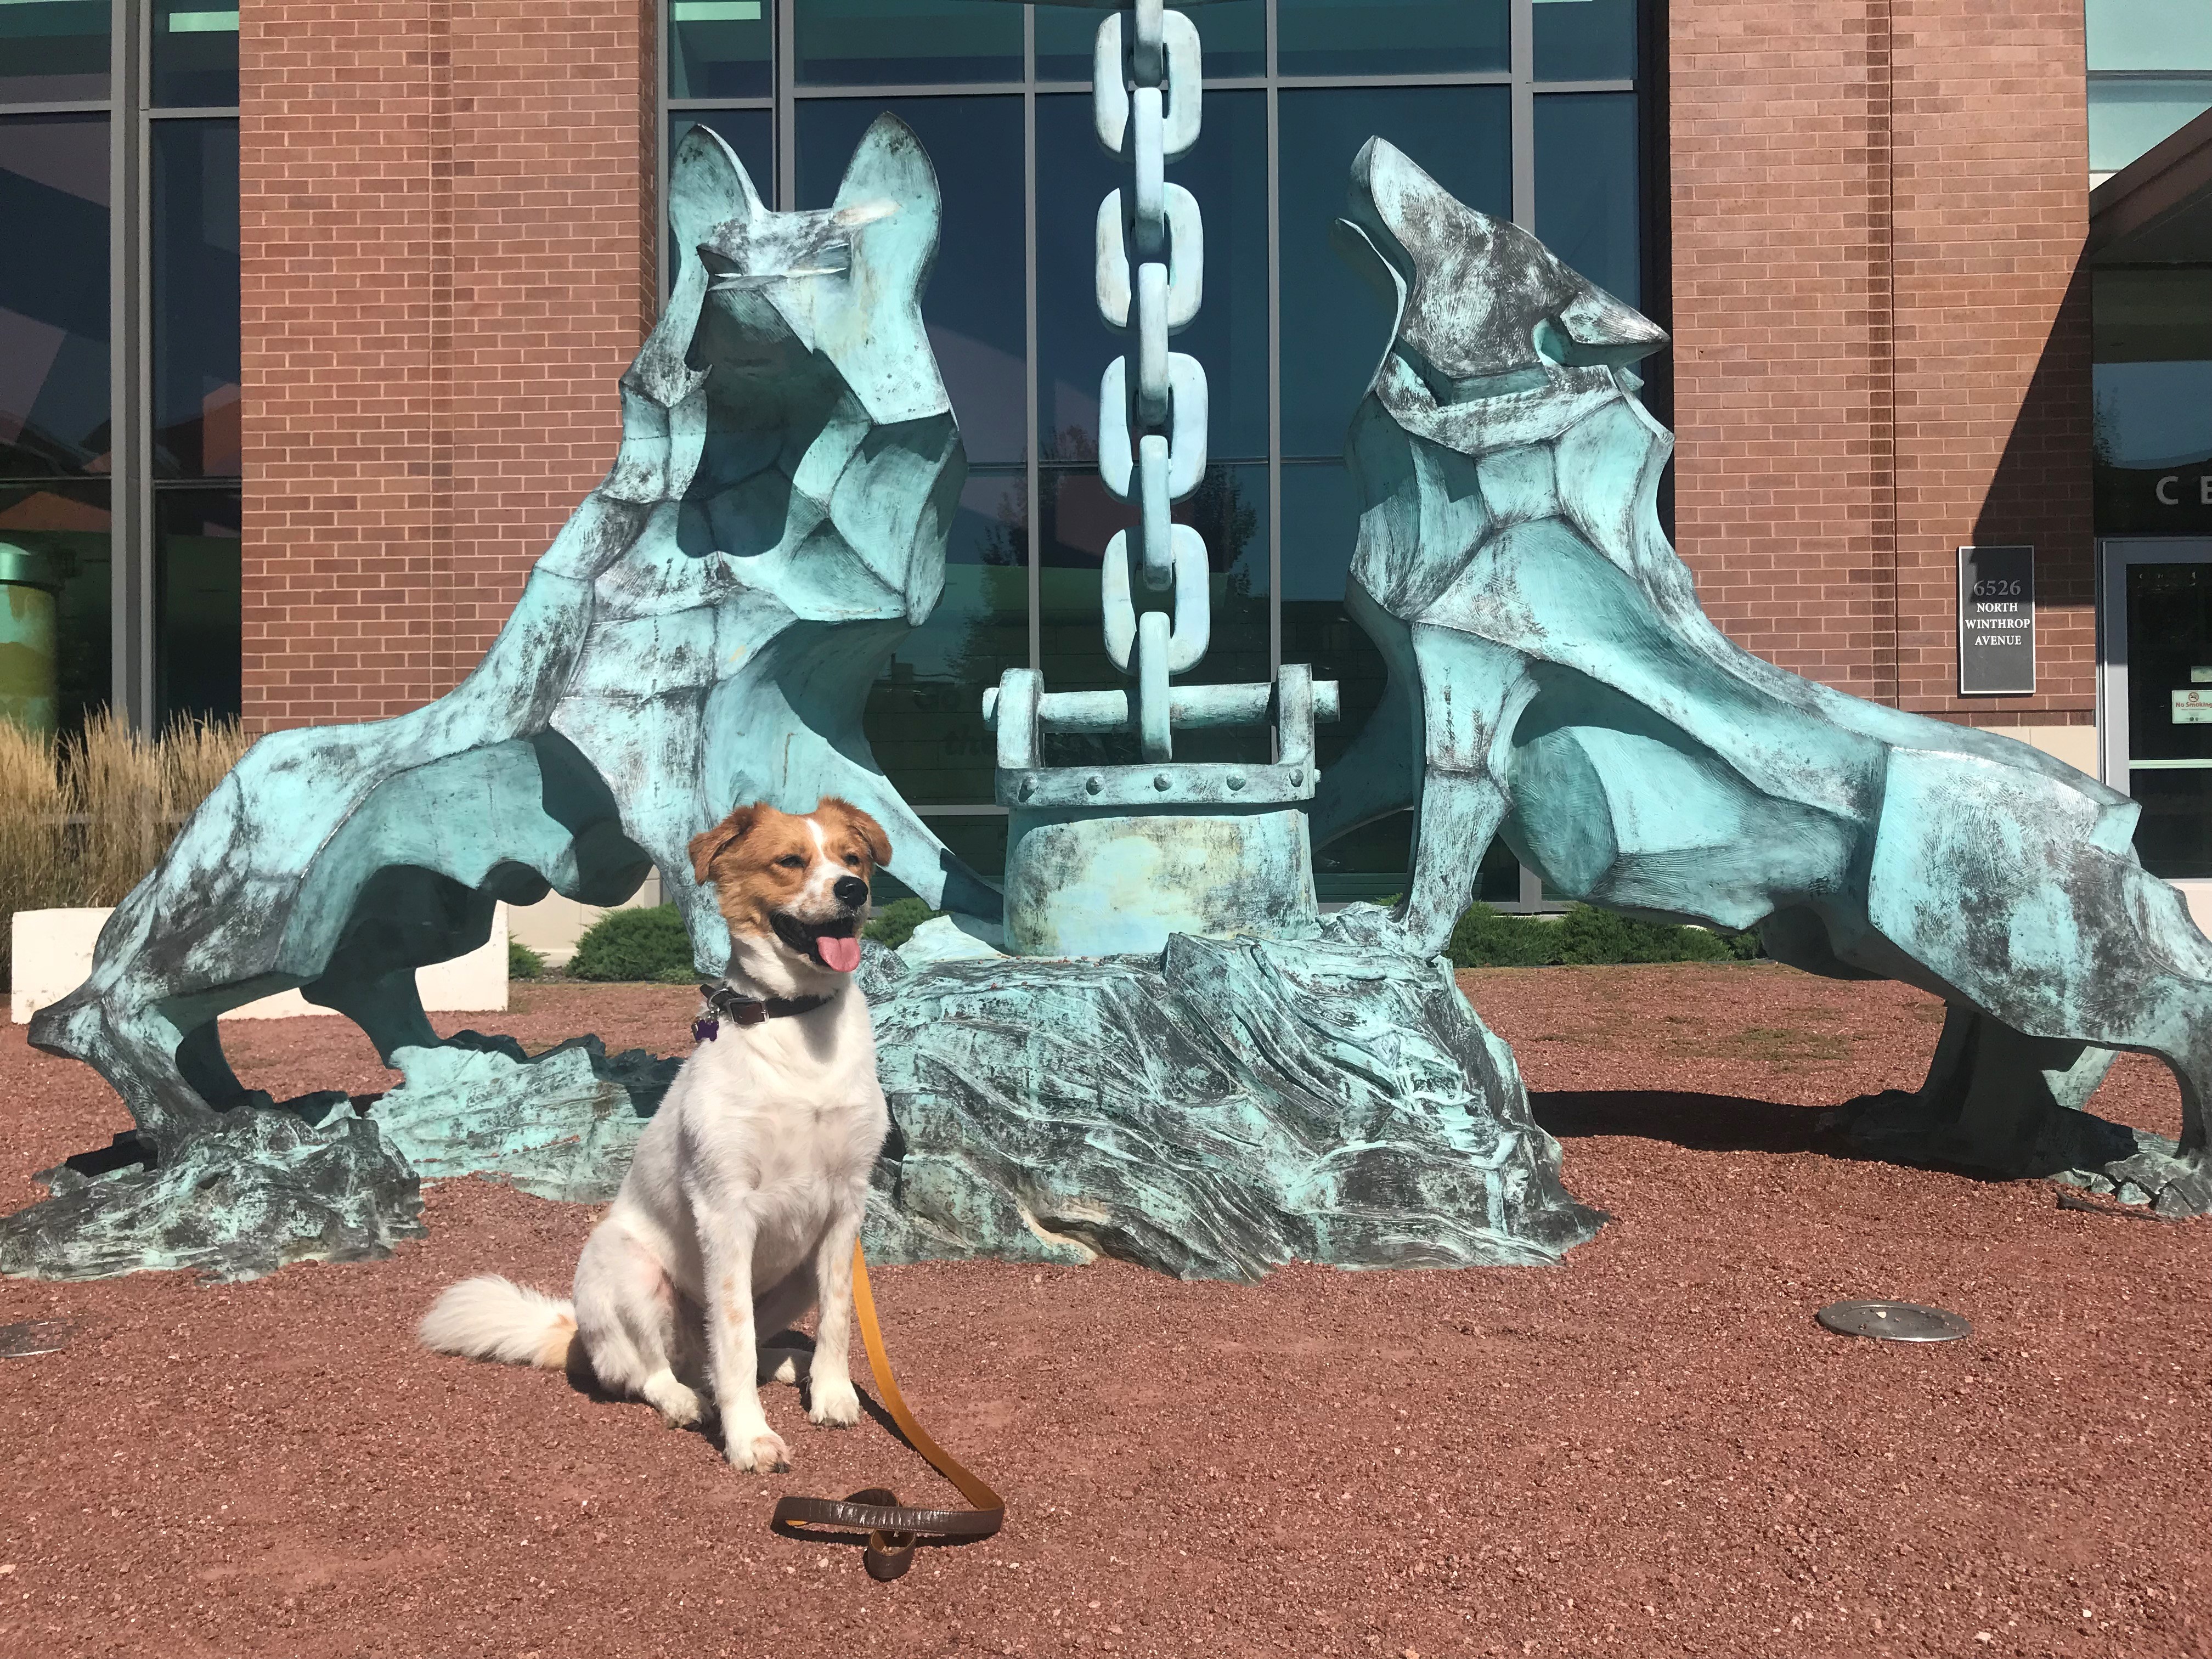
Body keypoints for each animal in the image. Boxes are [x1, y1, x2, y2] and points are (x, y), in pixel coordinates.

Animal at [416, 800, 889, 1477]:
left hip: (797, 1268)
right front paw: (750, 1438)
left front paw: (832, 1393)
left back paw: (787, 1366)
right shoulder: (726, 1210)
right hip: (630, 1268)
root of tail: (579, 1336)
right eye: (790, 861)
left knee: (724, 1354)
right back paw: (687, 1400)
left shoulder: (845, 1208)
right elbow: (735, 1340)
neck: (798, 1023)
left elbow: (838, 1319)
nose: (854, 891)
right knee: (652, 1372)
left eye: (853, 858)